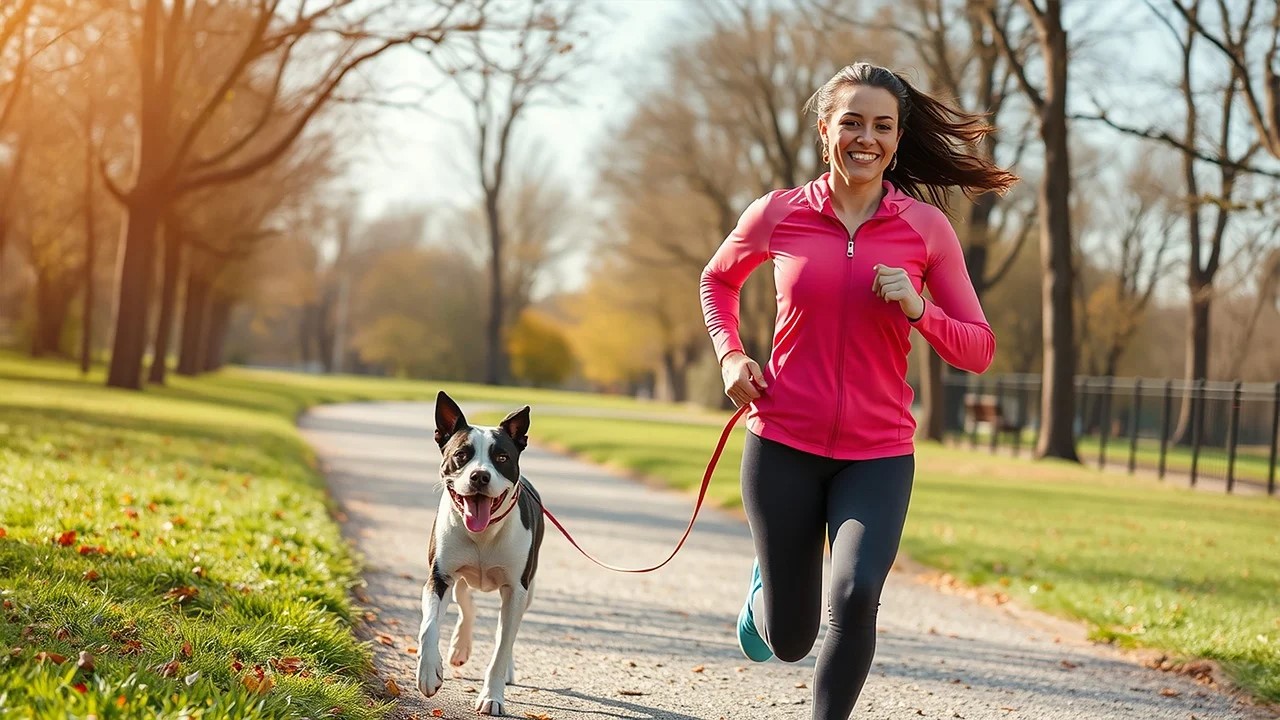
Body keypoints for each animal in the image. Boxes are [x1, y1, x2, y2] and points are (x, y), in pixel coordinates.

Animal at [414, 389, 545, 712]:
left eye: (502, 458)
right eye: (462, 455)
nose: (480, 476)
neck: (483, 534)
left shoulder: (516, 588)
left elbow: (501, 646)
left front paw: (492, 697)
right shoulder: (439, 577)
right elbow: (429, 626)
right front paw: (428, 673)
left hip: (527, 590)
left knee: (506, 630)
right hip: (461, 573)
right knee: (465, 599)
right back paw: (459, 646)